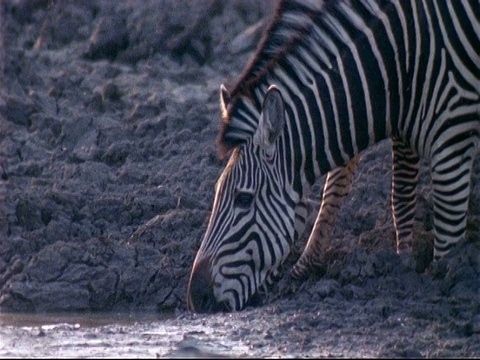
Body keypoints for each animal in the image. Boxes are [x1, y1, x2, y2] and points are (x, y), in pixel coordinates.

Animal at [187, 0, 480, 312]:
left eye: (244, 199)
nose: (195, 297)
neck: (398, 63)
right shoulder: (404, 131)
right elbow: (394, 195)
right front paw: (403, 261)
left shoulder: (452, 143)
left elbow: (447, 233)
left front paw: (445, 279)